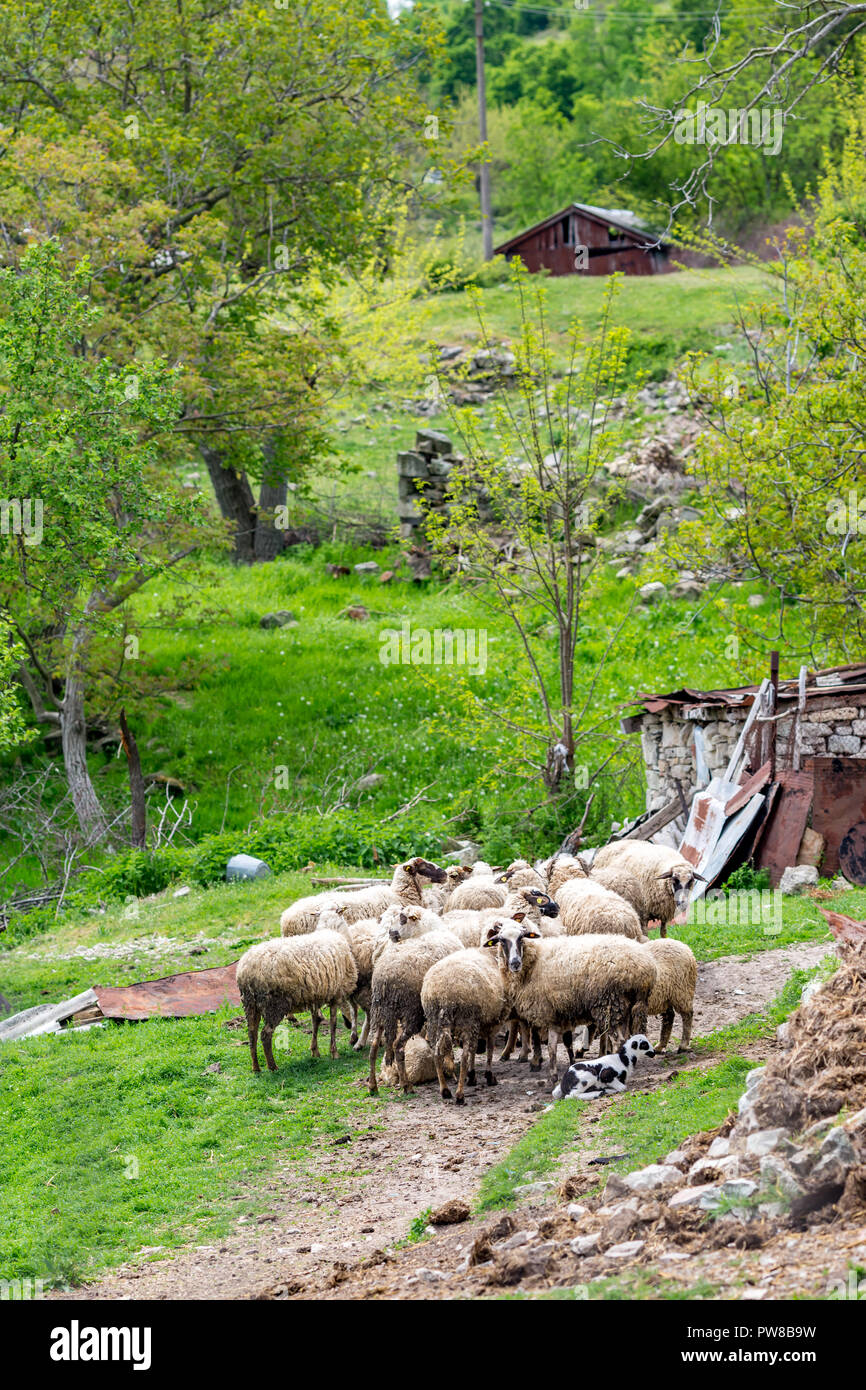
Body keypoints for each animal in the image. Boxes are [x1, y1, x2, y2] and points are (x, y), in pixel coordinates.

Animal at [234, 934, 358, 1073]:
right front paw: (334, 1053)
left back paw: (256, 1067)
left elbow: (316, 1020)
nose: (354, 1037)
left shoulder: (314, 997)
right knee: (265, 1034)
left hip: (250, 1004)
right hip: (274, 1005)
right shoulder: (335, 995)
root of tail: (245, 972)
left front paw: (315, 1051)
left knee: (252, 1034)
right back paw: (272, 1066)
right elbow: (333, 1023)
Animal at [366, 928, 464, 1100]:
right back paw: (407, 1086)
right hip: (412, 1013)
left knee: (374, 1047)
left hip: (380, 1013)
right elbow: (445, 1043)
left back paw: (373, 1087)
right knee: (398, 1047)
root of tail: (384, 979)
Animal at [480, 922, 656, 1084]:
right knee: (626, 1040)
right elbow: (562, 1042)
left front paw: (552, 1075)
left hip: (609, 1004)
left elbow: (551, 1047)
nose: (515, 963)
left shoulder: (546, 1011)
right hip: (624, 1008)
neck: (533, 962)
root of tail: (643, 968)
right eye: (501, 940)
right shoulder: (559, 1013)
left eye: (521, 938)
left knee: (619, 1041)